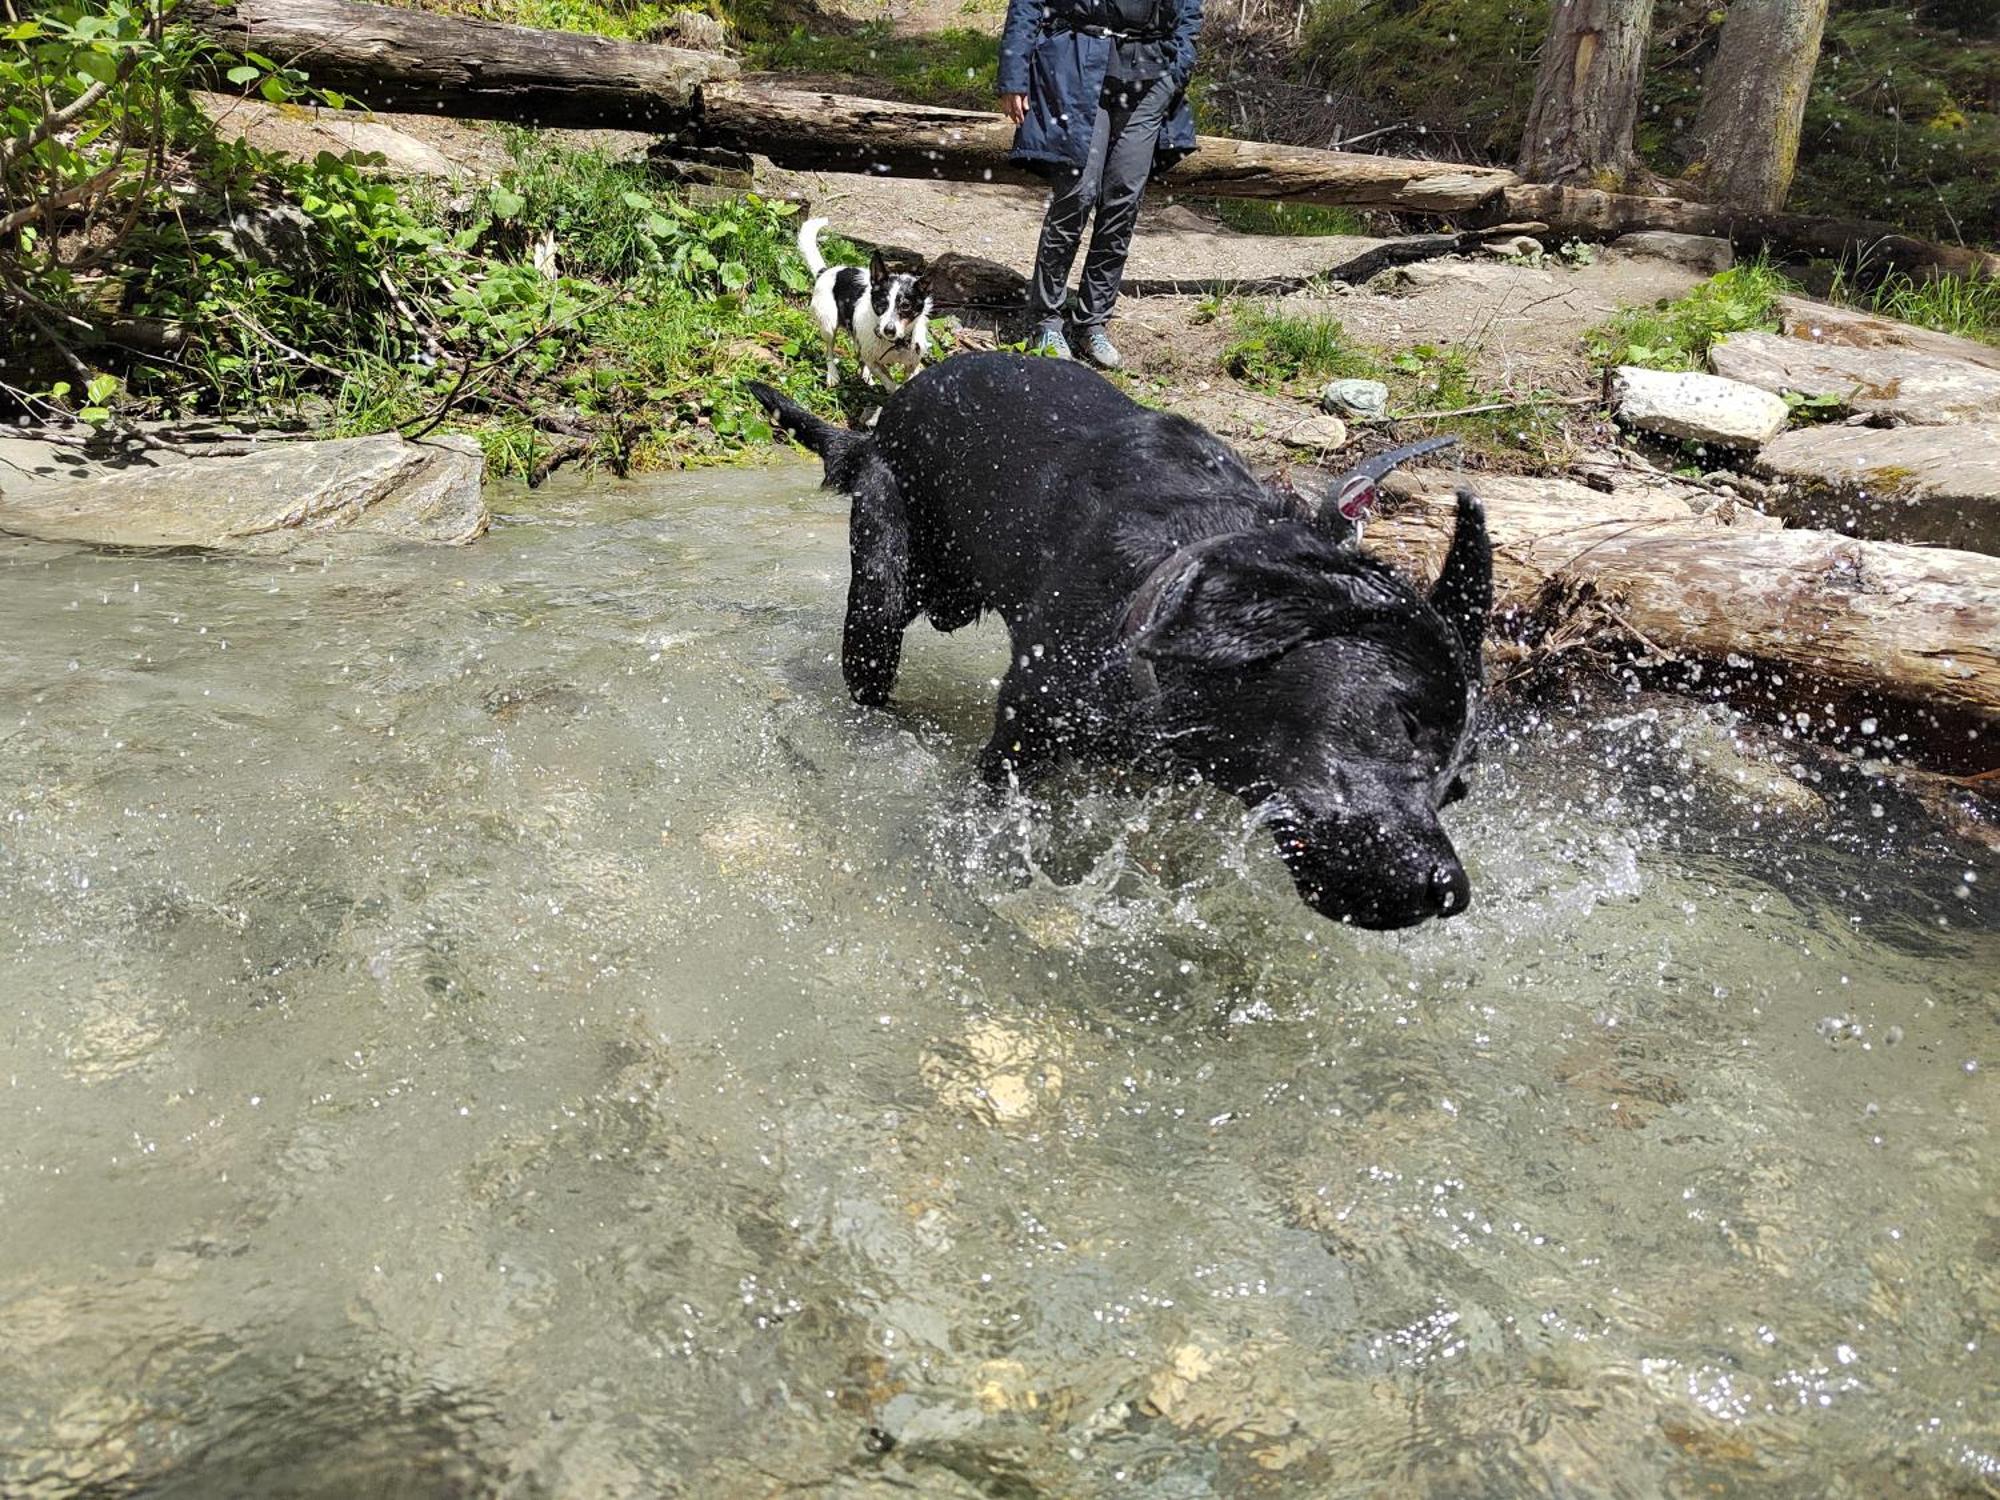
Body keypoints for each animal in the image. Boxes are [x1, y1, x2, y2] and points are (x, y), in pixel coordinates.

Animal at [756, 356, 1496, 936]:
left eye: (1458, 788)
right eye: (1401, 724)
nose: (1449, 893)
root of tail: (883, 419)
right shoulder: (1022, 737)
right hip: (879, 601)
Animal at [792, 219, 932, 396]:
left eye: (906, 306)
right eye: (882, 304)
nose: (889, 330)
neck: (895, 343)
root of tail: (825, 271)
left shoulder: (911, 364)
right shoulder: (874, 361)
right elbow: (890, 384)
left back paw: (865, 376)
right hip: (828, 325)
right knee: (829, 350)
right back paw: (832, 374)